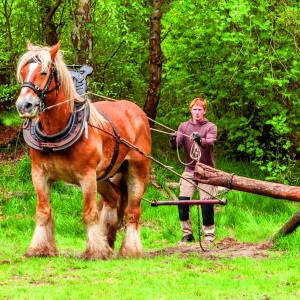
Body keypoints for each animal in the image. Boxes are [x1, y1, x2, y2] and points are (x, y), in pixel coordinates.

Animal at [15, 42, 151, 260]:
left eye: (44, 72)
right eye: (23, 72)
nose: (24, 105)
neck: (56, 131)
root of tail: (136, 111)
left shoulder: (87, 176)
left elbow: (89, 213)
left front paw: (96, 251)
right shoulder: (39, 174)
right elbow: (43, 211)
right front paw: (39, 248)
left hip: (137, 170)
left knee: (132, 212)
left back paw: (130, 250)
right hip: (103, 176)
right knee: (113, 200)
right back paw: (108, 241)